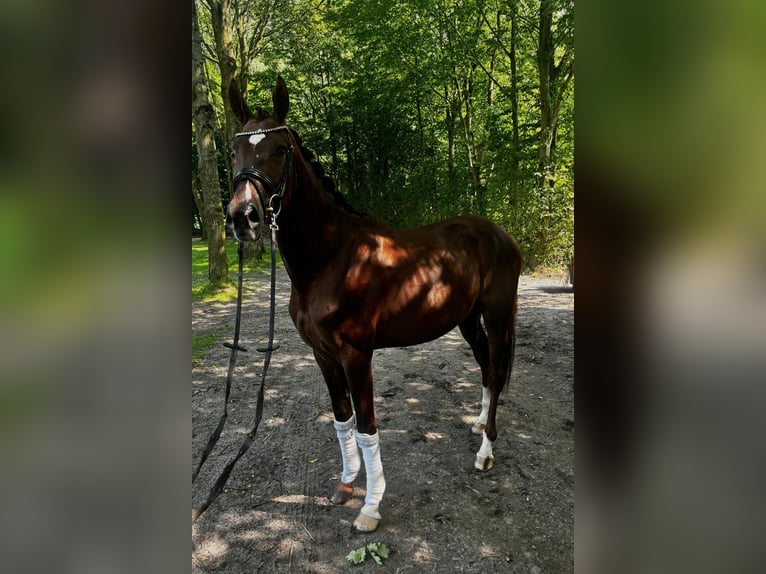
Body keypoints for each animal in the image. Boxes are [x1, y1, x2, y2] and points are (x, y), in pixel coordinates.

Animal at [224, 77, 520, 536]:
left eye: (281, 149)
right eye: (234, 149)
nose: (244, 217)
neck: (331, 258)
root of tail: (500, 235)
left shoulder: (355, 355)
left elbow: (366, 428)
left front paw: (370, 507)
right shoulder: (323, 355)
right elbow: (342, 420)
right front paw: (346, 484)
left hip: (499, 316)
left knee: (499, 368)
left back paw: (486, 451)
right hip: (469, 320)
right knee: (488, 369)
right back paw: (477, 426)